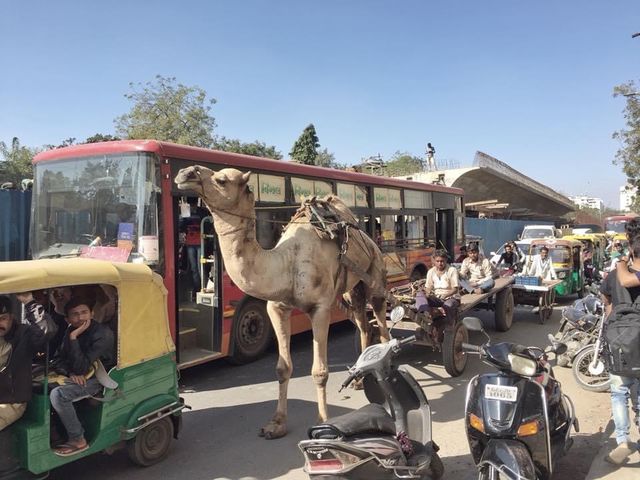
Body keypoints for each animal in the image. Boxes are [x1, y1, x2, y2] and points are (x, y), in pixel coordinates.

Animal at [174, 165, 390, 438]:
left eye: (221, 180)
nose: (185, 173)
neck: (287, 263)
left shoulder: (320, 308)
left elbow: (319, 371)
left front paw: (322, 421)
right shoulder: (277, 307)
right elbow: (282, 368)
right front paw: (276, 423)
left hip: (375, 275)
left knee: (381, 322)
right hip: (351, 289)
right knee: (363, 323)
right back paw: (360, 378)